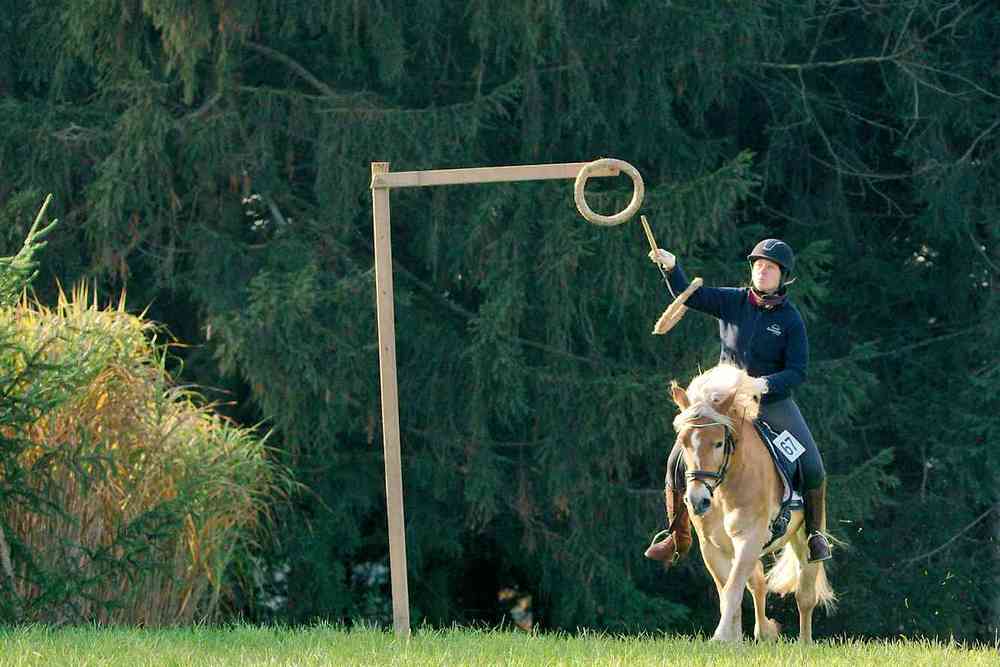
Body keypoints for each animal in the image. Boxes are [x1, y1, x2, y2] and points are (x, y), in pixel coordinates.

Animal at [668, 363, 835, 643]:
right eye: (684, 443)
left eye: (719, 443)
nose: (697, 501)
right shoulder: (712, 548)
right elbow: (729, 592)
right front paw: (733, 641)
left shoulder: (749, 537)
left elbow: (733, 589)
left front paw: (720, 638)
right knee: (757, 583)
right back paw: (764, 632)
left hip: (804, 537)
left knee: (804, 595)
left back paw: (804, 643)